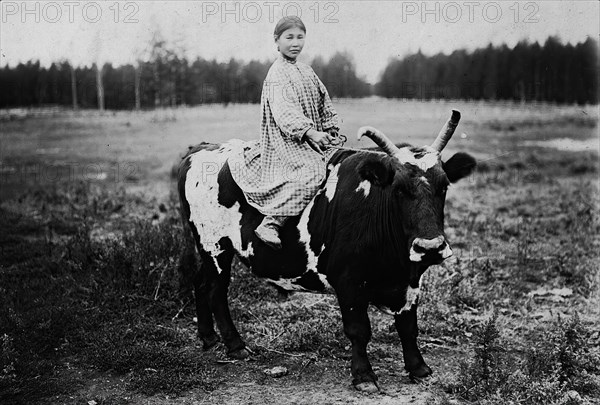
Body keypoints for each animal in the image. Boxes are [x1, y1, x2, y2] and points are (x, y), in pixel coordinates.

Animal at [176, 109, 476, 392]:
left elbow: (408, 327)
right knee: (216, 290)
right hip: (215, 247)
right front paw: (363, 376)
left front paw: (419, 368)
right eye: (399, 189)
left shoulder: (411, 280)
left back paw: (208, 337)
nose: (430, 247)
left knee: (200, 283)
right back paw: (235, 345)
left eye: (444, 186)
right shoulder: (348, 282)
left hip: (208, 250)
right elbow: (358, 330)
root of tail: (199, 150)